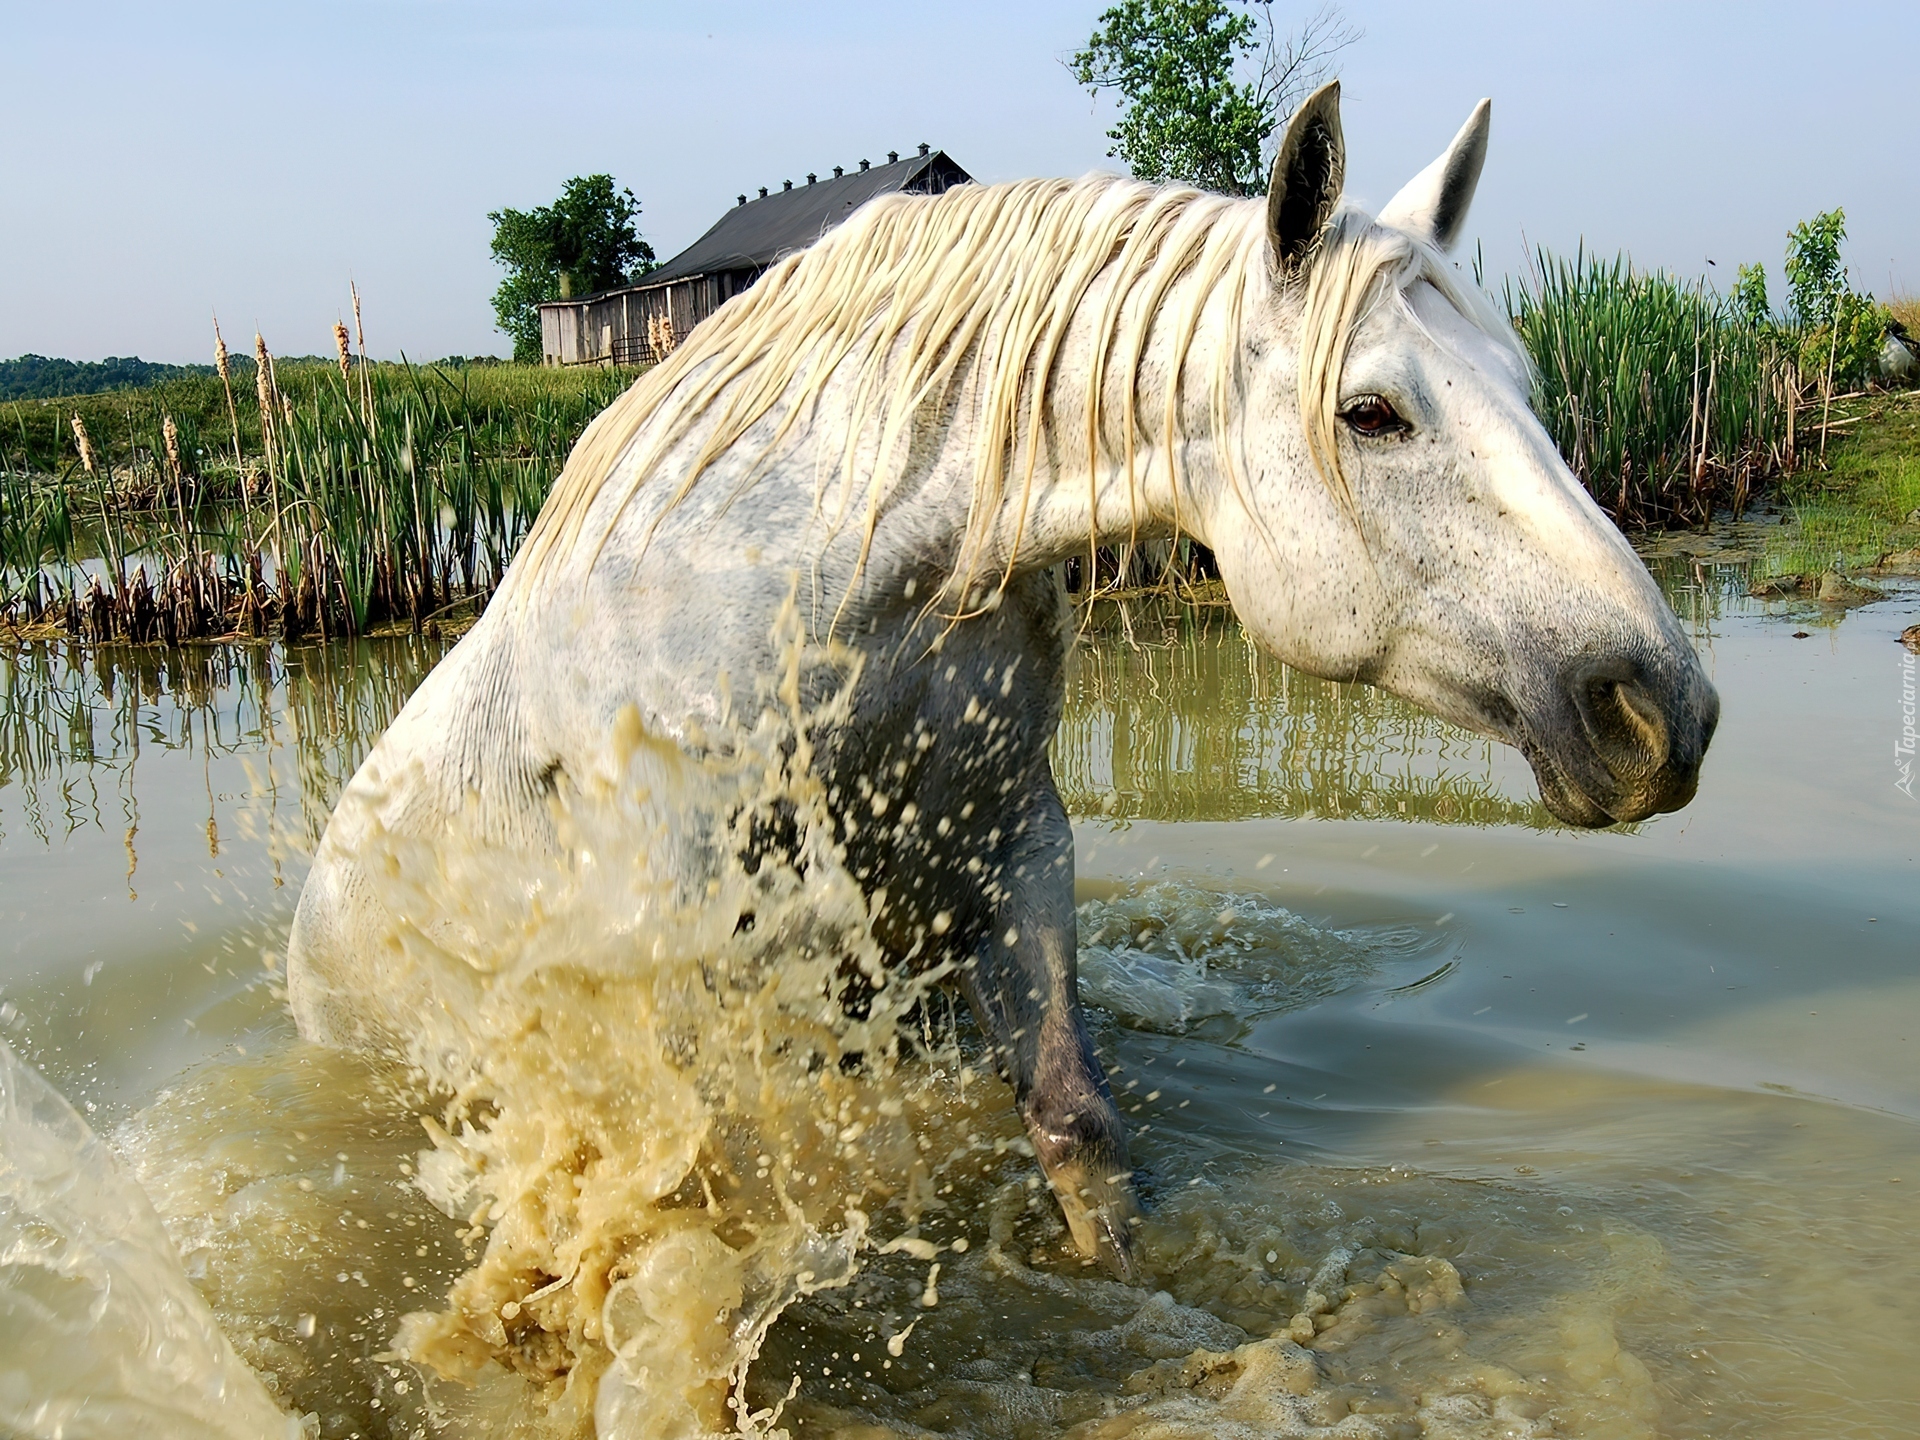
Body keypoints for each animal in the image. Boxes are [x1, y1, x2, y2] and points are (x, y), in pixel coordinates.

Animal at [291, 87, 1720, 1282]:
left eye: (1525, 386)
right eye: (1371, 413)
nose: (1666, 709)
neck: (829, 583)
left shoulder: (1011, 837)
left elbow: (1072, 1118)